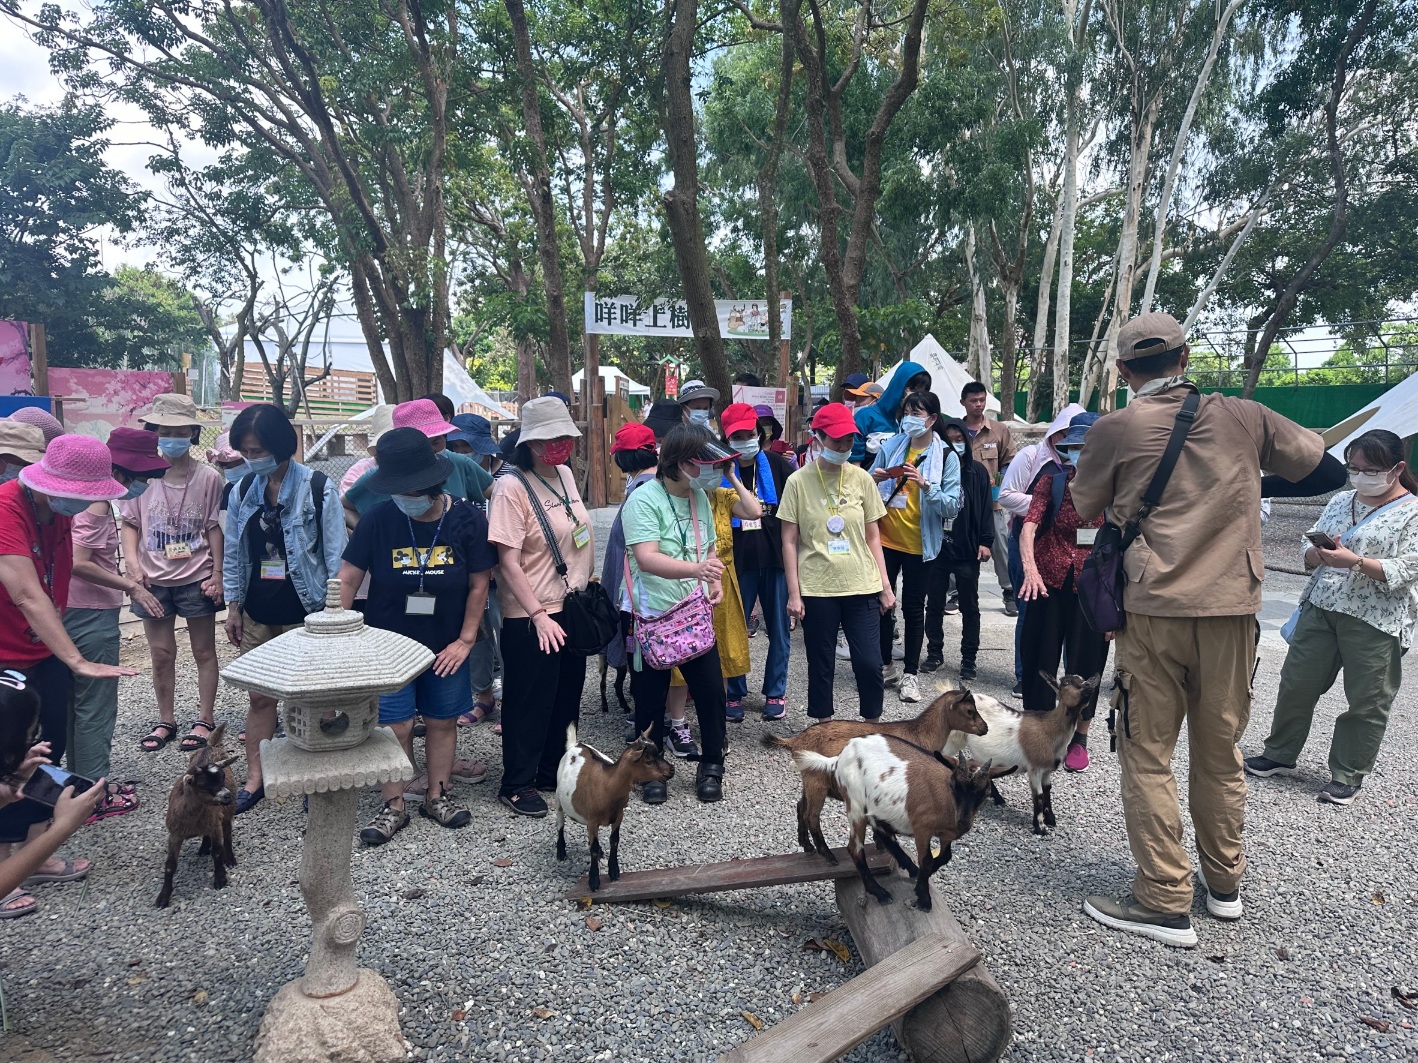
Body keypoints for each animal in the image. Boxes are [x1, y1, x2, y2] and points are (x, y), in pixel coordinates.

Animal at [155, 725, 238, 907]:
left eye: (222, 777)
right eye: (203, 785)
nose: (226, 796)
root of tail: (212, 746)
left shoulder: (215, 825)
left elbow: (218, 851)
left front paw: (220, 879)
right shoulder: (175, 834)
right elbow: (170, 865)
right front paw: (163, 897)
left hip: (227, 813)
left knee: (228, 834)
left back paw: (230, 859)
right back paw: (203, 848)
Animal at [553, 725, 674, 890]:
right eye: (649, 761)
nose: (672, 769)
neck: (607, 785)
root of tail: (574, 745)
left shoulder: (619, 815)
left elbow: (614, 840)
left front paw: (614, 871)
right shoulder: (593, 820)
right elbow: (593, 848)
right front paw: (594, 880)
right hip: (558, 798)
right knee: (560, 823)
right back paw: (561, 852)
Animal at [765, 691, 986, 867]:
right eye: (969, 710)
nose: (985, 728)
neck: (919, 734)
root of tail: (795, 740)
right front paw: (884, 844)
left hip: (808, 779)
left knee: (801, 807)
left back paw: (807, 846)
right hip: (816, 781)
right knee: (811, 816)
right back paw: (828, 855)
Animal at [794, 737, 992, 912]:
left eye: (985, 793)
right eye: (953, 786)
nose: (963, 822)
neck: (946, 803)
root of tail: (839, 758)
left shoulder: (947, 835)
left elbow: (945, 857)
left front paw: (923, 878)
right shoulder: (922, 829)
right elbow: (927, 860)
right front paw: (924, 898)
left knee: (881, 831)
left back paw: (910, 868)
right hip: (855, 803)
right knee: (854, 848)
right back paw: (880, 893)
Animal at [947, 674, 1100, 839]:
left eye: (1082, 679)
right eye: (1065, 683)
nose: (1089, 686)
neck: (1049, 729)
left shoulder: (1046, 770)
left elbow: (1047, 791)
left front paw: (1050, 819)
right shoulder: (1034, 769)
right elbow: (1039, 796)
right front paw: (1040, 827)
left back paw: (998, 799)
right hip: (951, 739)